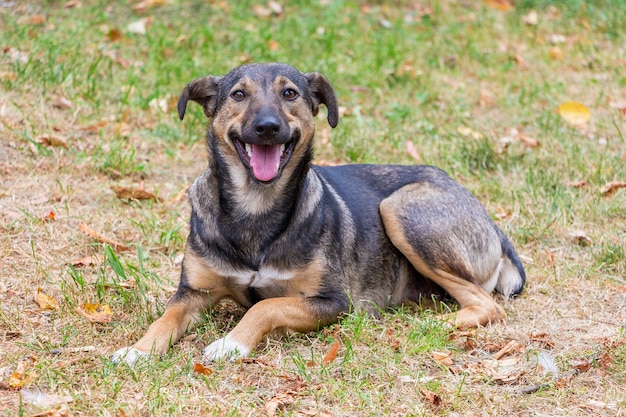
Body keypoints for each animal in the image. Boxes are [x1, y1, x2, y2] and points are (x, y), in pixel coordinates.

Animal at [111, 63, 520, 366]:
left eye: (289, 93)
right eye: (238, 94)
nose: (267, 127)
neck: (255, 207)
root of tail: (489, 222)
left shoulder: (334, 301)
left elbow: (267, 306)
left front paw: (231, 343)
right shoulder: (193, 292)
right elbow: (164, 318)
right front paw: (137, 350)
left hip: (399, 208)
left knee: (487, 305)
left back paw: (429, 324)